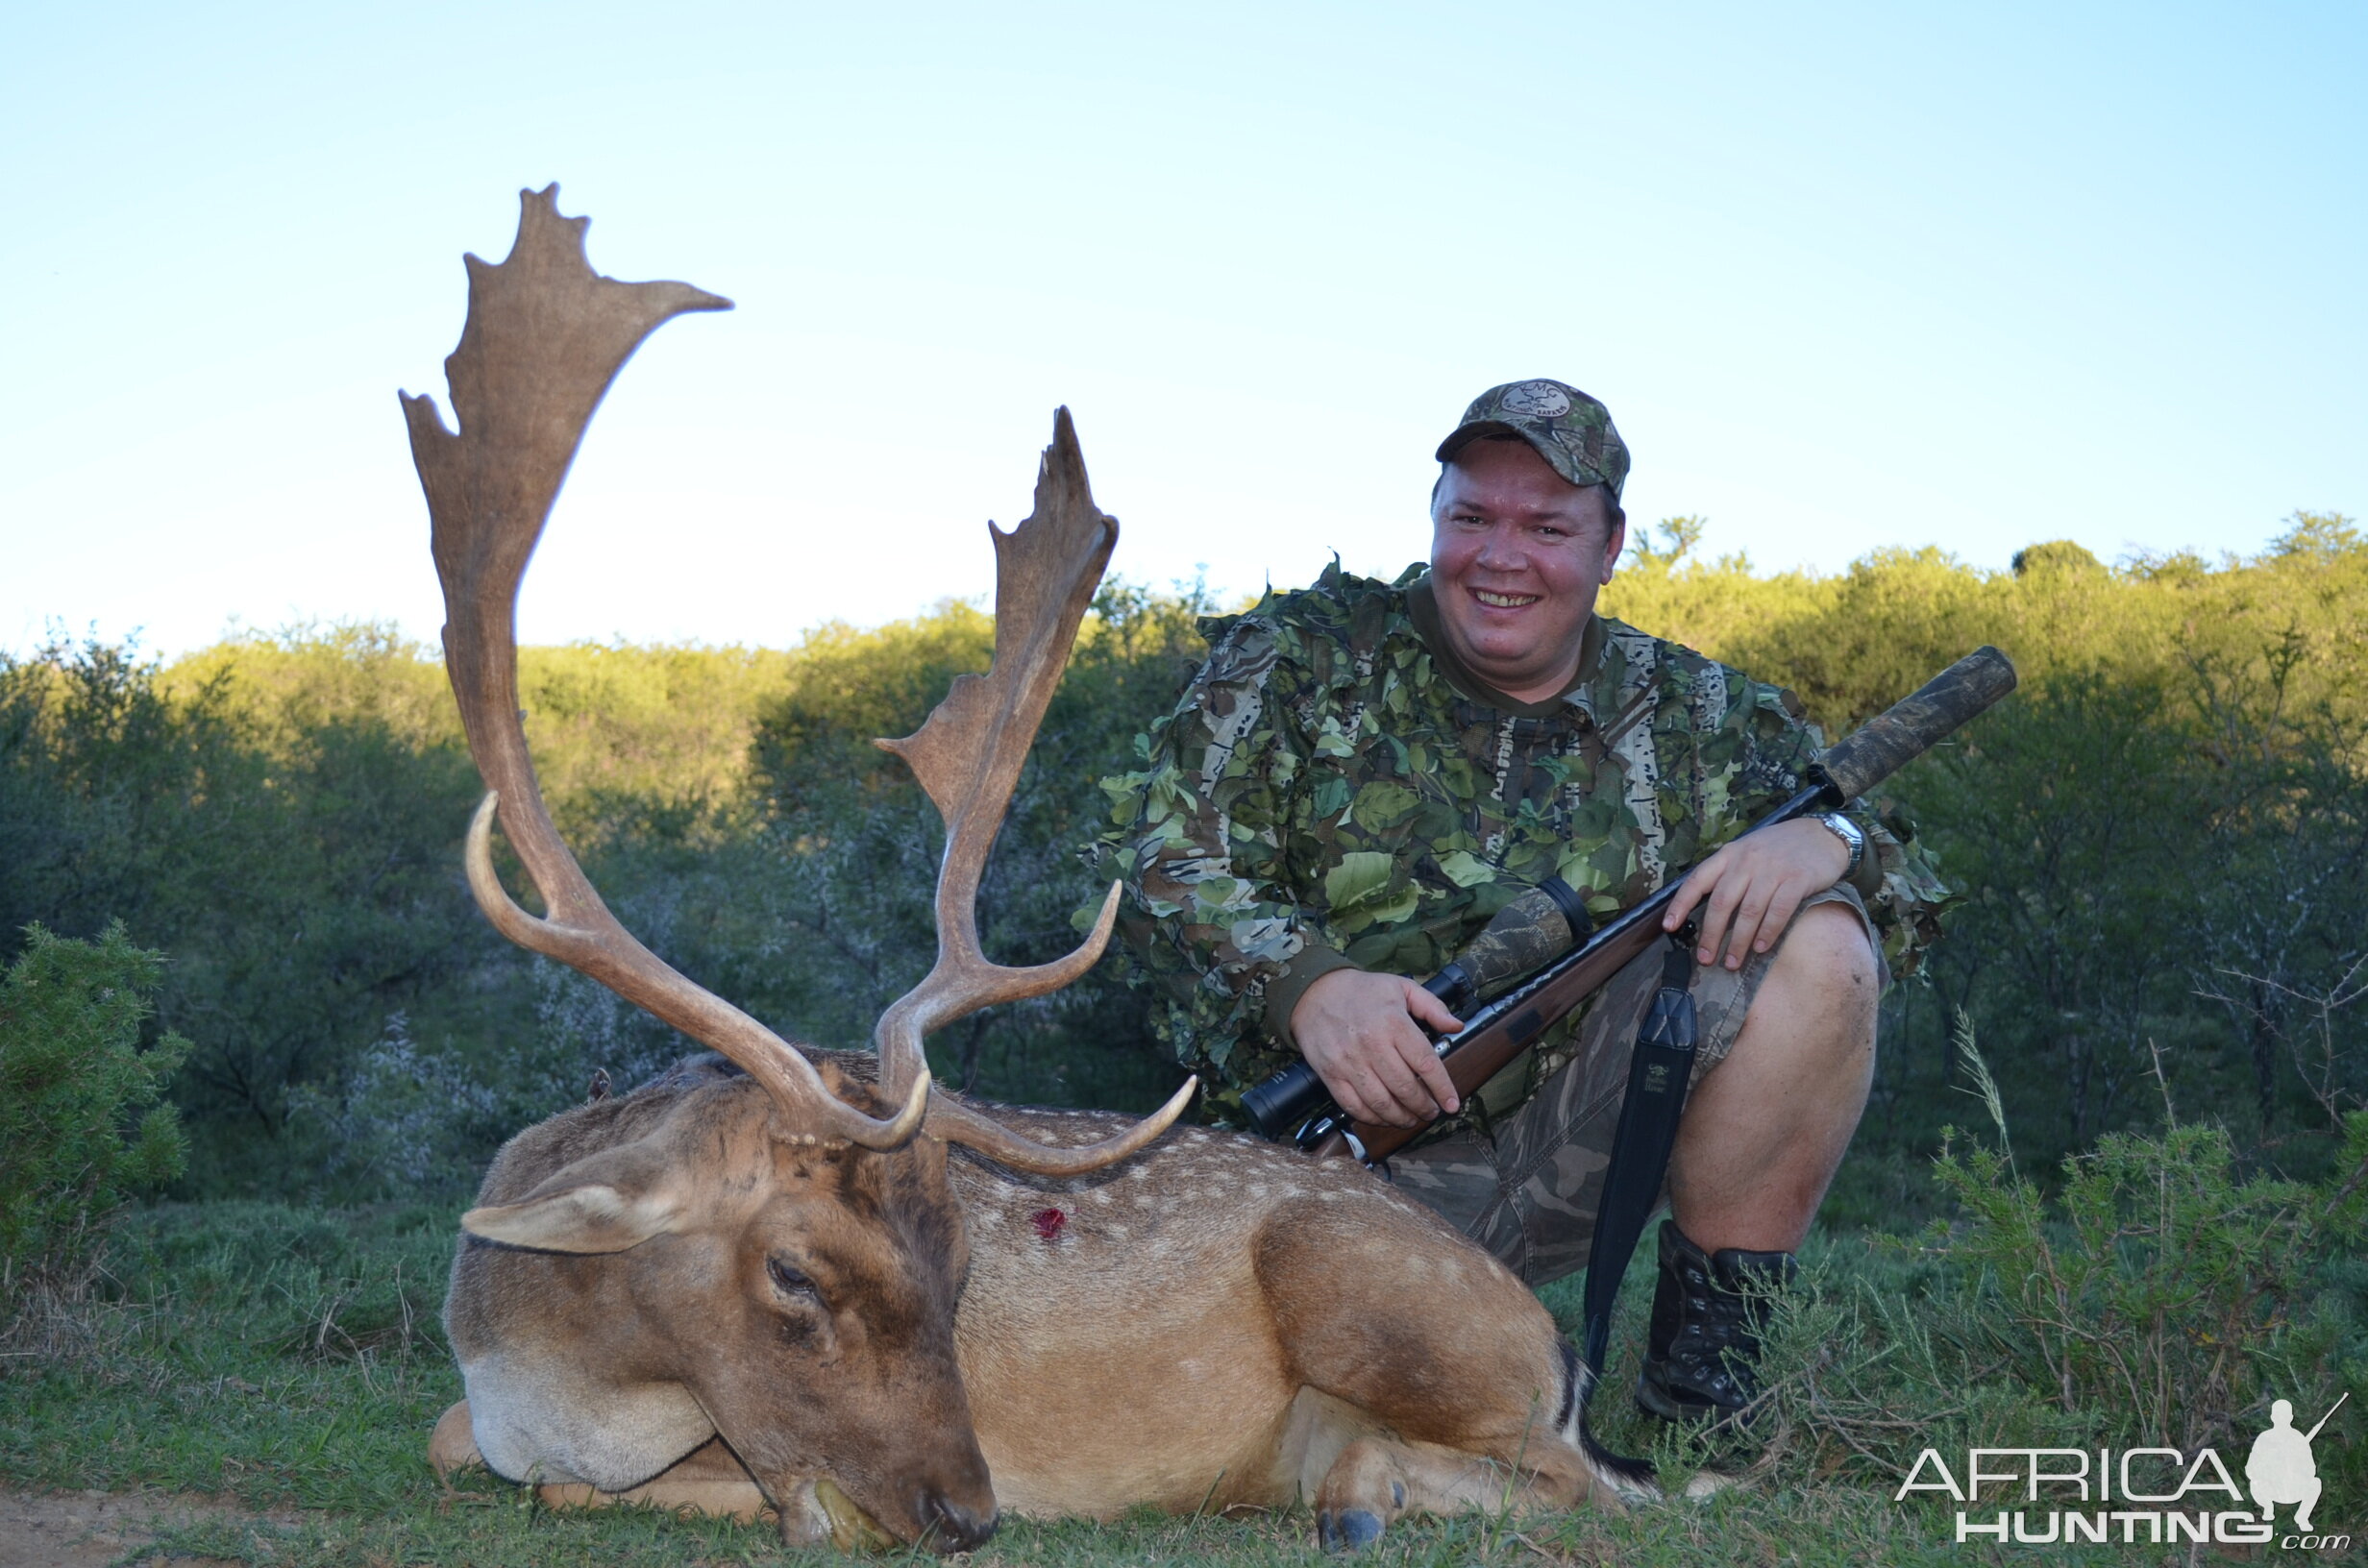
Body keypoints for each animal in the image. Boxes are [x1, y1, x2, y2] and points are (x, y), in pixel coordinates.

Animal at [421, 190, 1647, 1554]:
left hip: (1375, 1287)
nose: (971, 1510)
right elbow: (451, 1442)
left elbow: (732, 1493)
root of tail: (1563, 1358)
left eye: (960, 1263)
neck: (532, 1367)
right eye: (792, 1272)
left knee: (1575, 1482)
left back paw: (1356, 1494)